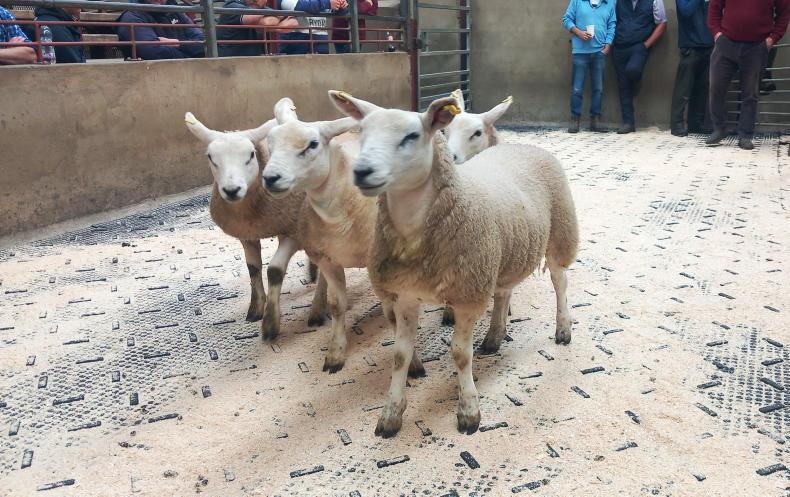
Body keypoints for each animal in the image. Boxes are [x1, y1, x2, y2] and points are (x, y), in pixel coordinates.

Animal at [184, 102, 328, 340]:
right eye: (211, 157)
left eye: (251, 155)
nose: (232, 190)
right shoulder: (247, 234)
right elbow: (253, 268)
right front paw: (256, 309)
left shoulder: (292, 232)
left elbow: (275, 270)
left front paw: (270, 324)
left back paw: (318, 309)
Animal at [260, 98, 426, 377]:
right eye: (270, 144)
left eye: (313, 144)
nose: (270, 178)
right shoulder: (327, 259)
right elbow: (337, 305)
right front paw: (335, 353)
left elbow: (392, 313)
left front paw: (412, 362)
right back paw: (317, 309)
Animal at [328, 90, 579, 437]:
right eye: (362, 133)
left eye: (412, 135)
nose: (362, 171)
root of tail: (521, 145)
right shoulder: (406, 294)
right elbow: (400, 355)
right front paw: (391, 415)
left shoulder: (468, 294)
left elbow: (460, 354)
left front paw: (469, 411)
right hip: (503, 252)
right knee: (504, 290)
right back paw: (494, 337)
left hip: (559, 232)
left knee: (560, 281)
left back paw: (563, 329)